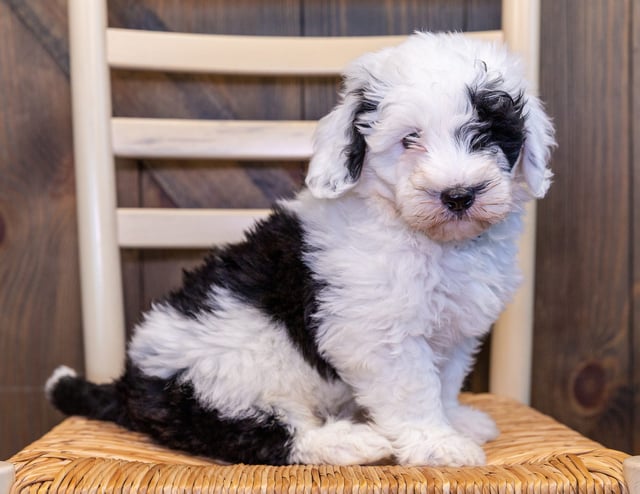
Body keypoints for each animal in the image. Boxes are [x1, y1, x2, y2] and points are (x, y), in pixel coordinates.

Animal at [46, 33, 556, 466]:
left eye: (491, 133)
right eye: (410, 138)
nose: (458, 195)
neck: (426, 238)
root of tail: (130, 381)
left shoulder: (454, 329)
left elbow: (445, 381)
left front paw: (455, 421)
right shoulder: (379, 334)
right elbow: (412, 389)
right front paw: (436, 444)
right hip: (219, 381)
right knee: (260, 435)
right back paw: (351, 442)